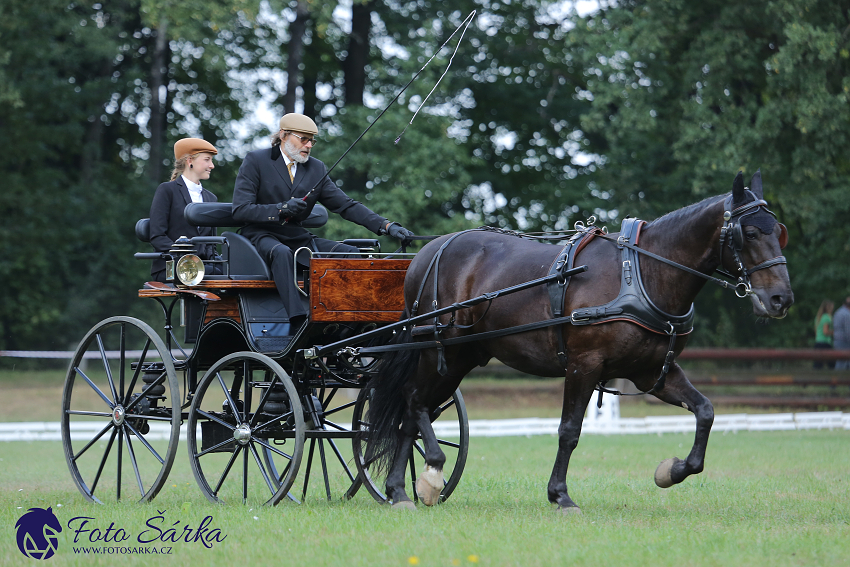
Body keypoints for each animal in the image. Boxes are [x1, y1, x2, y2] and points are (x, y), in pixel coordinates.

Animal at [362, 171, 788, 512]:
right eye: (750, 232)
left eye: (780, 232)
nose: (781, 299)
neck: (642, 273)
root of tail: (430, 251)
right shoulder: (584, 364)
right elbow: (569, 431)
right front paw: (561, 496)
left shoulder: (653, 372)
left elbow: (705, 411)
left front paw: (673, 470)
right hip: (441, 350)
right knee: (414, 400)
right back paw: (430, 473)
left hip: (462, 356)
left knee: (412, 412)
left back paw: (400, 491)